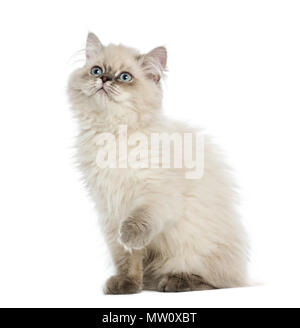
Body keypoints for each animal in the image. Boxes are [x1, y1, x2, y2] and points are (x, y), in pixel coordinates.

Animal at [67, 34, 248, 294]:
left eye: (125, 77)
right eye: (96, 70)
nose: (104, 79)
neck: (112, 133)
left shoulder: (155, 195)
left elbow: (138, 223)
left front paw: (129, 237)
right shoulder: (111, 208)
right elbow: (127, 259)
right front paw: (127, 286)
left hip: (193, 247)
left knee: (216, 282)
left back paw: (174, 281)